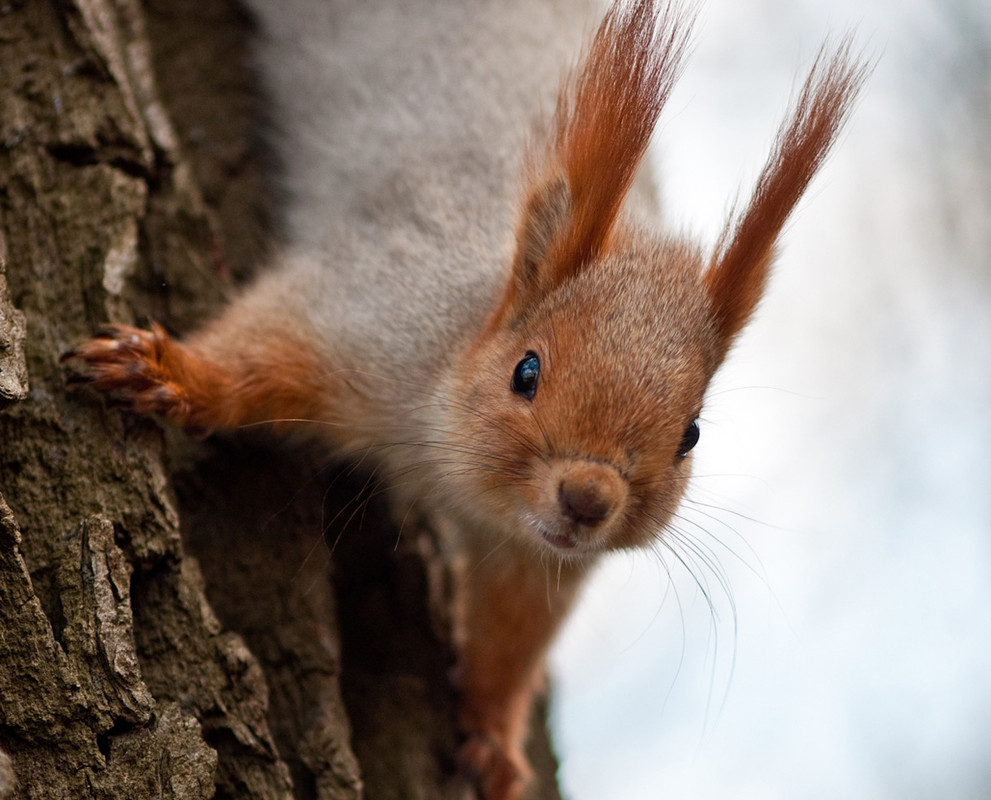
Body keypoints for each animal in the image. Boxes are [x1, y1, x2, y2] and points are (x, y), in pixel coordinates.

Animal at [64, 1, 868, 800]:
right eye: (526, 371)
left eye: (691, 434)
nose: (588, 499)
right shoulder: (371, 310)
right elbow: (260, 352)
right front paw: (171, 372)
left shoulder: (535, 558)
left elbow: (514, 632)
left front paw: (490, 735)